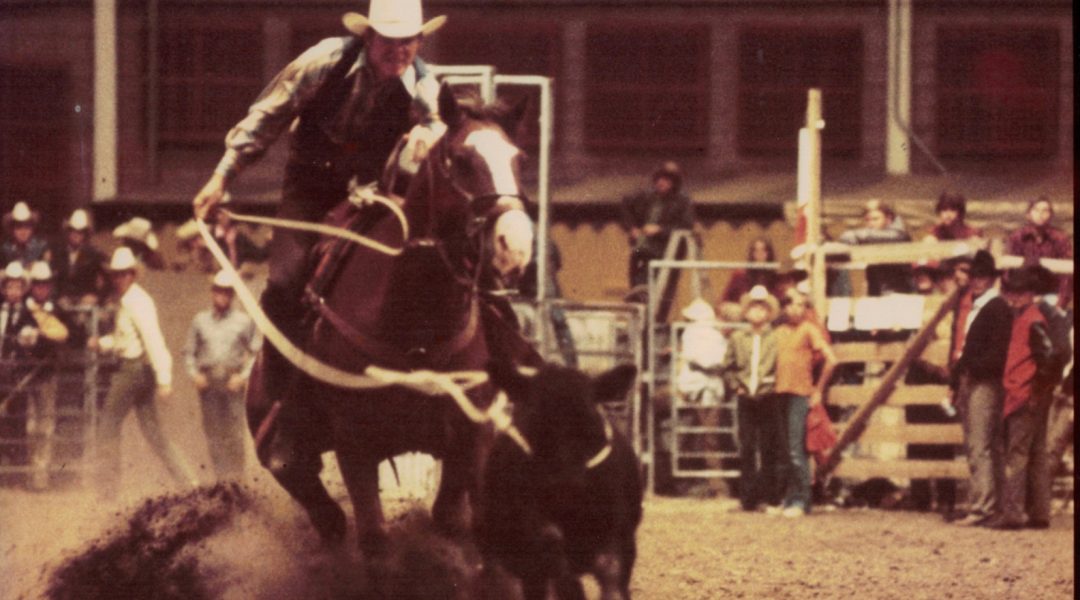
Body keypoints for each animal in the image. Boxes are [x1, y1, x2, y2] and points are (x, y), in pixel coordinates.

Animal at [244, 85, 542, 554]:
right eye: (461, 159)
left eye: (520, 160)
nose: (515, 245)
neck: (414, 321)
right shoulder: (354, 444)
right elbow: (374, 537)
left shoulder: (470, 437)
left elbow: (455, 520)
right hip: (282, 445)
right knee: (320, 507)